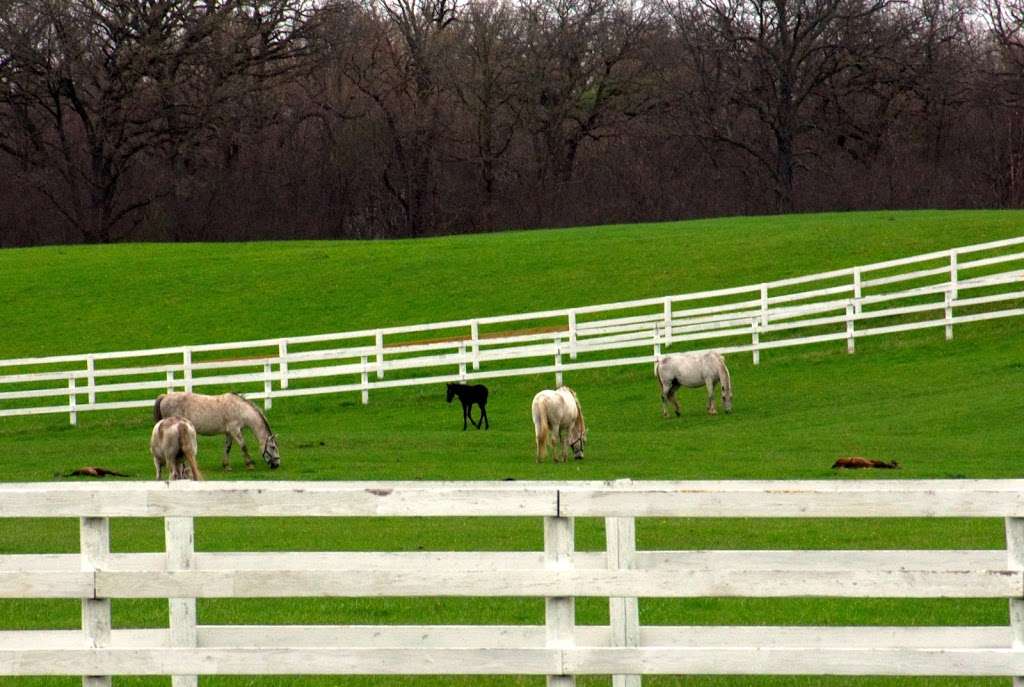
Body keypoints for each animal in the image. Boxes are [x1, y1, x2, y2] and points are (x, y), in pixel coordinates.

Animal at [152, 393, 280, 473]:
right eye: (273, 447)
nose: (277, 465)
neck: (240, 409)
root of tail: (165, 397)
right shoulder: (235, 431)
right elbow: (243, 446)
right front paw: (250, 465)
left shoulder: (229, 433)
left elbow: (227, 448)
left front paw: (226, 466)